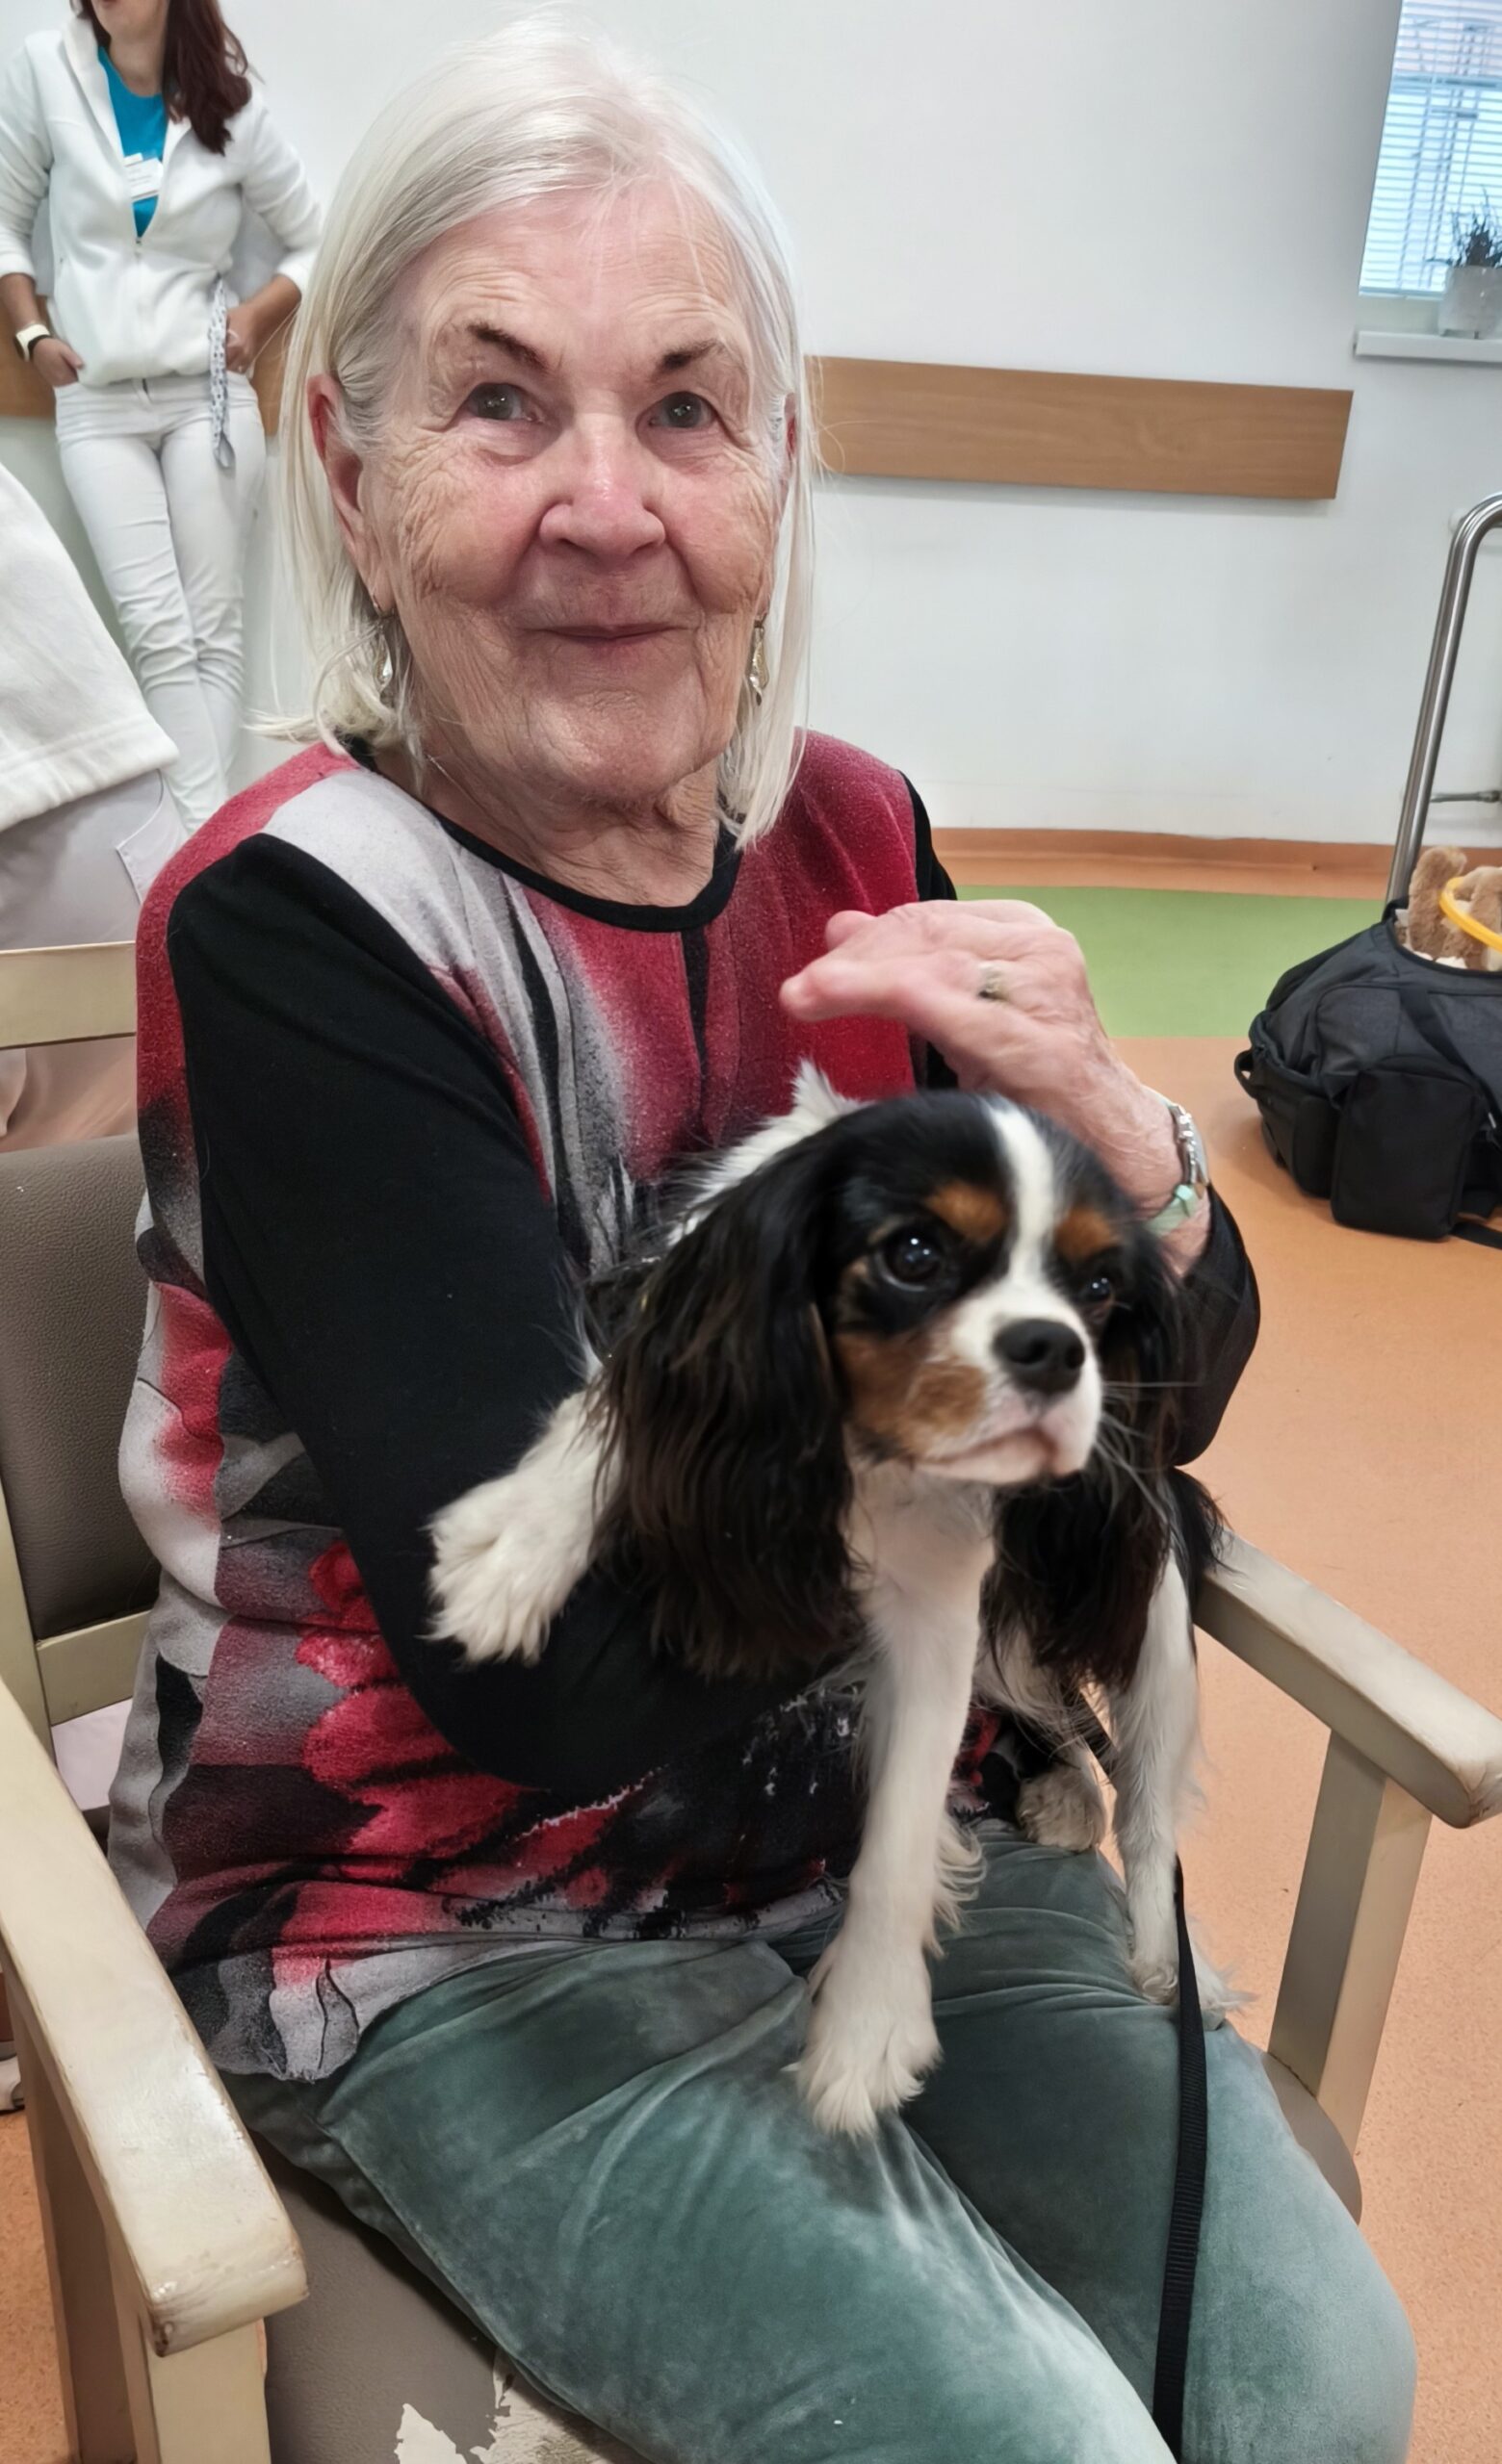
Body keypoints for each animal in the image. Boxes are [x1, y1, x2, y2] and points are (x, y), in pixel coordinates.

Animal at [430, 1070, 1225, 2136]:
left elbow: (901, 1824)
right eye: (914, 1254)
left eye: (1100, 1289)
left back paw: (1159, 1955)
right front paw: (514, 1547)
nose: (1057, 1350)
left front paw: (868, 2024)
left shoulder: (941, 1604)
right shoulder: (682, 1355)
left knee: (1145, 1816)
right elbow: (600, 1427)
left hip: (1154, 1612)